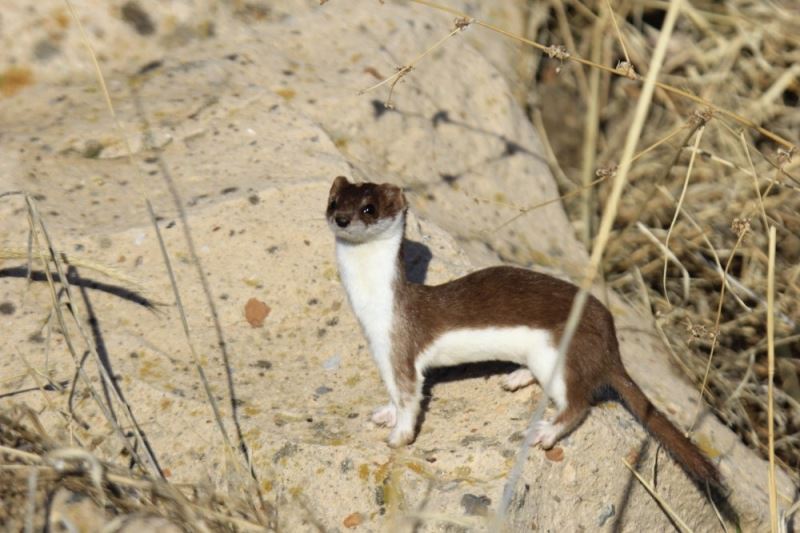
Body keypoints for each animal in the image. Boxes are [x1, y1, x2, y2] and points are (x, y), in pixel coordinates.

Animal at [324, 176, 720, 486]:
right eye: (334, 202)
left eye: (369, 208)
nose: (341, 219)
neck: (374, 312)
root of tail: (611, 342)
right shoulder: (382, 353)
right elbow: (394, 395)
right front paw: (385, 413)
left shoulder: (402, 350)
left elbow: (409, 396)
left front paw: (398, 436)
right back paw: (516, 377)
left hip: (559, 353)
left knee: (578, 404)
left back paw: (545, 431)